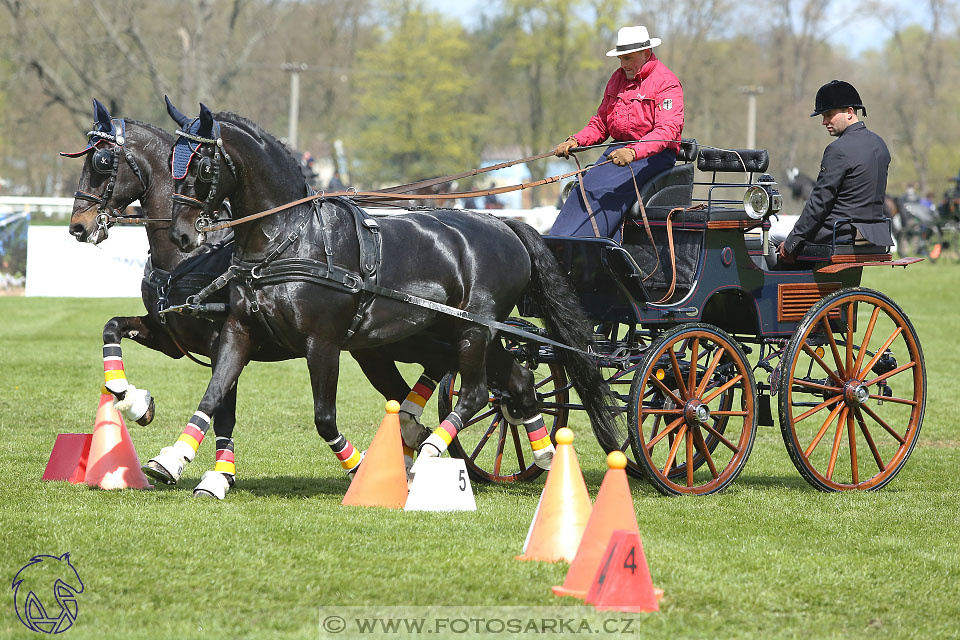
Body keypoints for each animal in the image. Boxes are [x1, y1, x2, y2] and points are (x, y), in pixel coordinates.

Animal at [155, 100, 616, 496]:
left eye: (201, 164)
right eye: (172, 158)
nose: (181, 234)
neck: (290, 238)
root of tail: (505, 225)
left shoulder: (322, 344)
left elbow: (324, 419)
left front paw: (363, 468)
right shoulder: (239, 331)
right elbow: (213, 395)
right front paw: (173, 459)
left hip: (473, 331)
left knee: (475, 393)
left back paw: (429, 453)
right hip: (469, 332)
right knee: (517, 381)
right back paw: (544, 453)